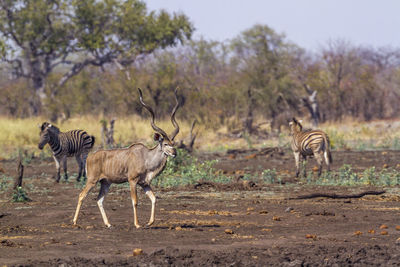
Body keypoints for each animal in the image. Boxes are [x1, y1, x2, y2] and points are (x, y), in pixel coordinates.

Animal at [72, 89, 180, 229]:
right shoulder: (132, 181)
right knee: (81, 195)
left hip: (106, 183)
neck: (146, 157)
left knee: (99, 199)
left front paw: (149, 222)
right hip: (92, 180)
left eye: (173, 143)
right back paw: (74, 222)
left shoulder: (144, 183)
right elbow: (135, 201)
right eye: (166, 144)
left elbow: (154, 198)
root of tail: (90, 157)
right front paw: (137, 224)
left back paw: (108, 224)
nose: (174, 153)